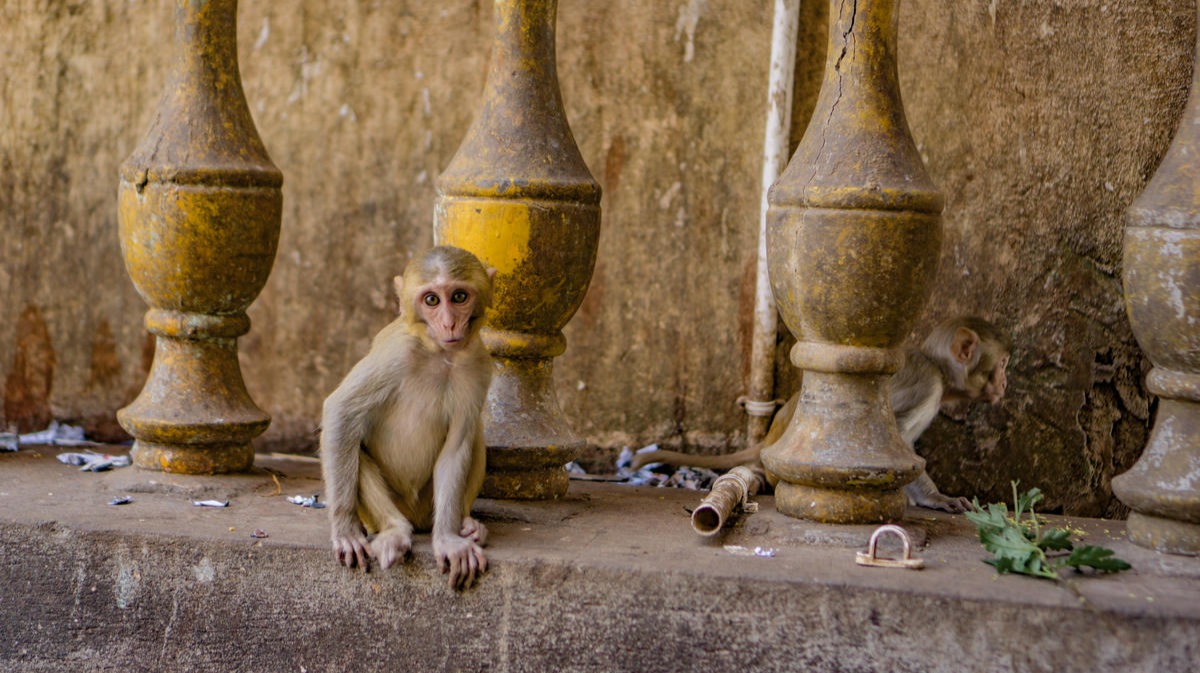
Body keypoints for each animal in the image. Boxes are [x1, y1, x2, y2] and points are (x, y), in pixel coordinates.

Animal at [320, 246, 495, 589]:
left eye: (459, 296)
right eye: (432, 300)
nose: (449, 324)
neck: (440, 354)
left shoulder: (478, 366)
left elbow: (457, 446)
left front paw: (449, 540)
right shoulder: (396, 354)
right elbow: (341, 412)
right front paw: (345, 531)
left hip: (428, 505)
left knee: (475, 435)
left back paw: (468, 526)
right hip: (389, 509)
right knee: (354, 445)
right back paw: (394, 532)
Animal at [631, 316, 1011, 513]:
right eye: (1003, 363)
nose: (1005, 383)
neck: (940, 369)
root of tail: (769, 439)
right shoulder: (926, 387)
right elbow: (899, 436)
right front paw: (936, 498)